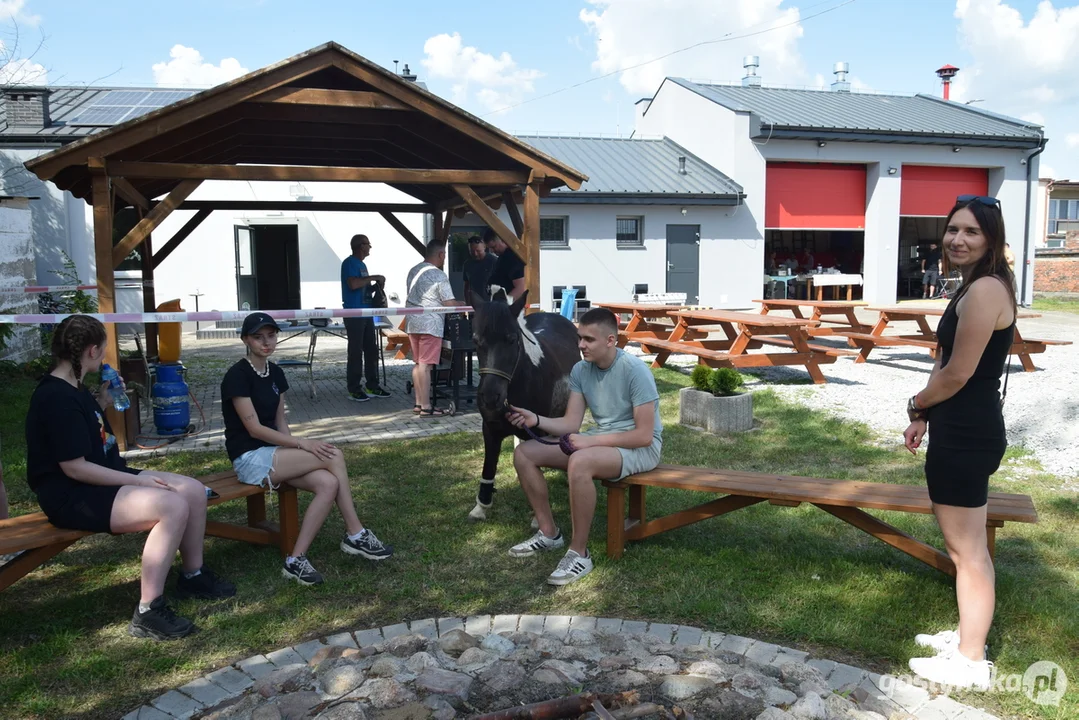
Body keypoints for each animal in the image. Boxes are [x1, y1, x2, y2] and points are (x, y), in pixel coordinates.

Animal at [466, 289, 578, 520]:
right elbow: (488, 467)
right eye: (476, 340)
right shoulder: (490, 429)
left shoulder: (537, 430)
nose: (490, 397)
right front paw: (481, 507)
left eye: (512, 339)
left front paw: (537, 516)